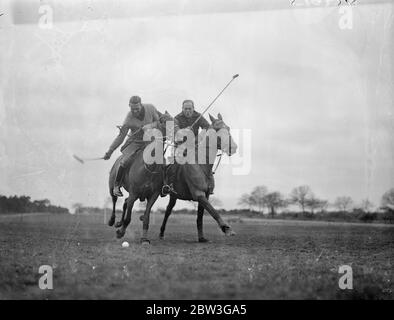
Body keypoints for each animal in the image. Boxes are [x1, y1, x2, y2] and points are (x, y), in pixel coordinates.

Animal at [106, 111, 172, 244]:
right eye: (163, 121)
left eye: (174, 120)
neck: (148, 168)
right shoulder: (134, 193)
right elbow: (129, 217)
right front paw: (120, 232)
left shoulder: (153, 195)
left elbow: (146, 217)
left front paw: (144, 239)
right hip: (112, 187)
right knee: (115, 200)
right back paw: (112, 221)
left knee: (125, 202)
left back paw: (119, 223)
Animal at [159, 112, 239, 240]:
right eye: (217, 129)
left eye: (228, 128)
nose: (233, 147)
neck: (202, 165)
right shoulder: (199, 194)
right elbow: (213, 211)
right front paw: (227, 229)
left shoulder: (206, 195)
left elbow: (200, 216)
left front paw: (201, 237)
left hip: (173, 196)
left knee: (168, 210)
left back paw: (161, 233)